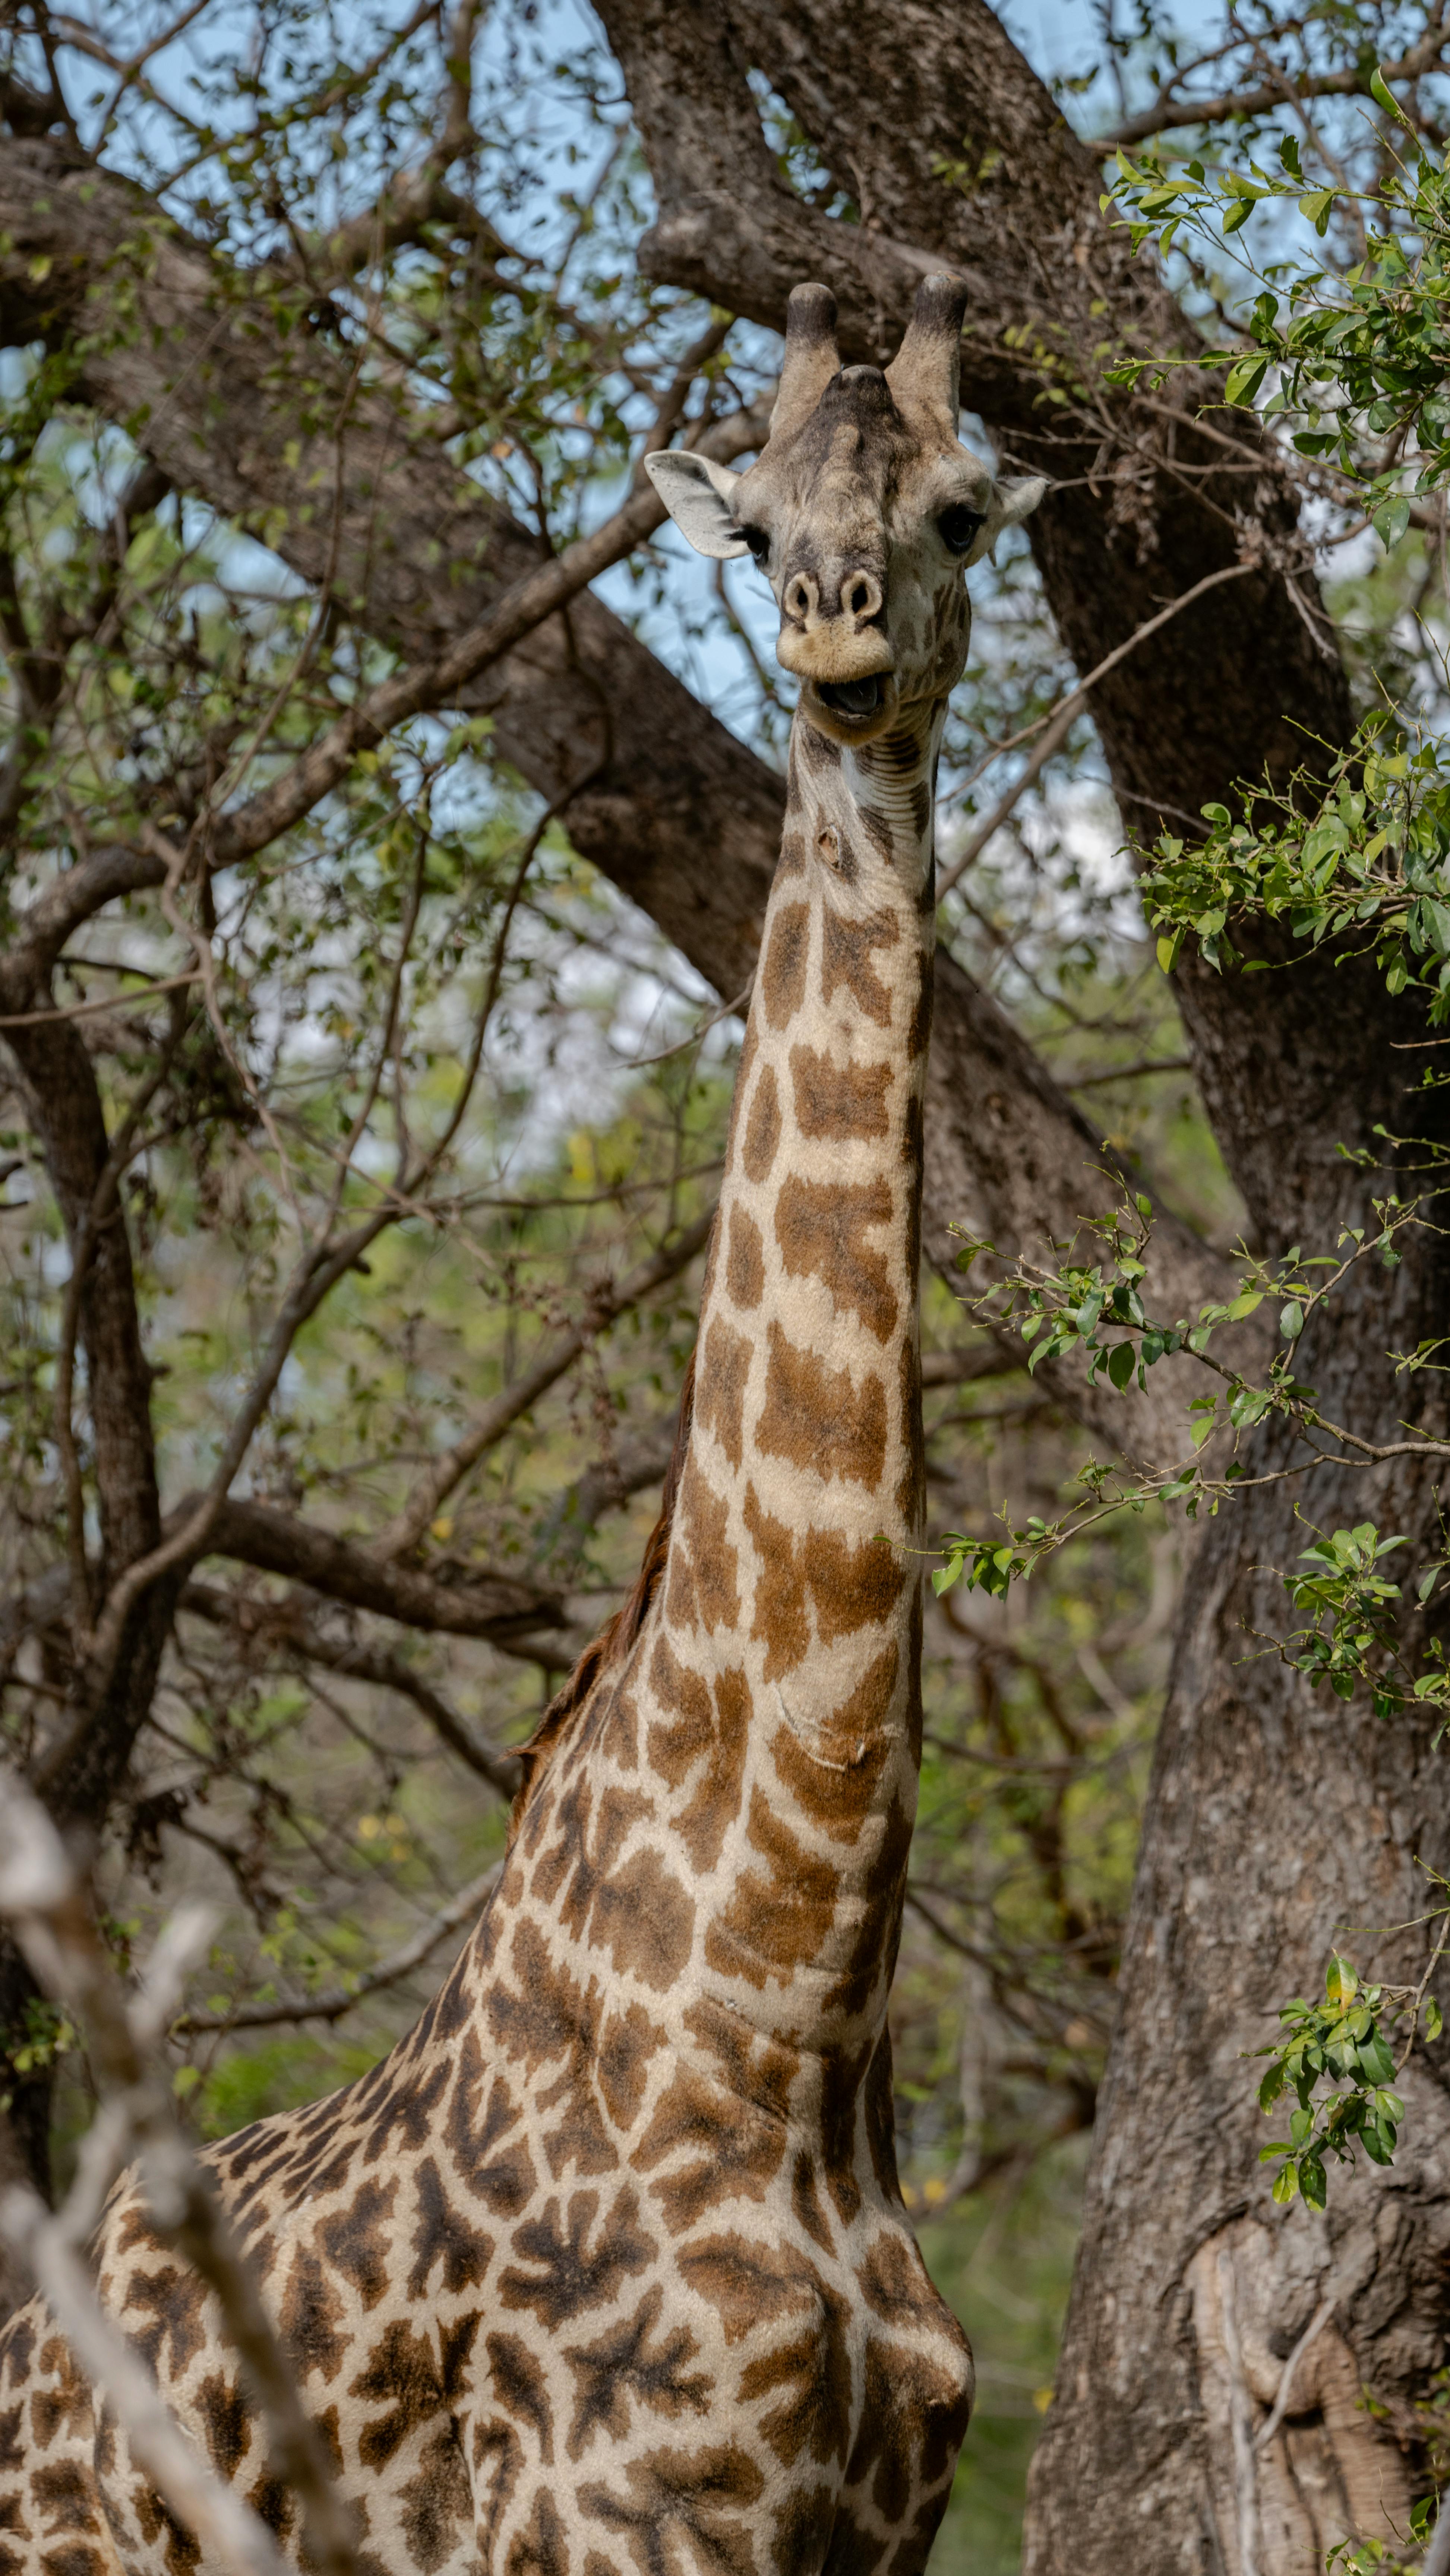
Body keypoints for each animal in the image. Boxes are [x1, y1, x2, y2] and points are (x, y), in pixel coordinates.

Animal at [0, 277, 1044, 2576]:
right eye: (758, 534)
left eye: (953, 507)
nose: (834, 641)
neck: (789, 2000)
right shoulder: (621, 2513)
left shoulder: (874, 2523)